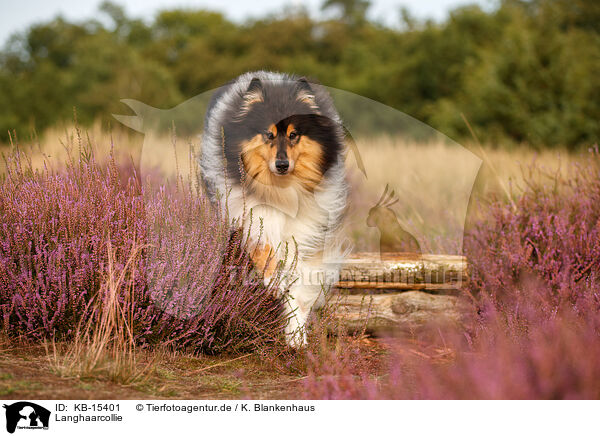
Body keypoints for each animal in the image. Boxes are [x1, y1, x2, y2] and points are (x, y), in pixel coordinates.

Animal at [200, 71, 346, 346]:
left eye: (293, 134)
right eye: (268, 134)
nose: (282, 164)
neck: (281, 190)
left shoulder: (310, 229)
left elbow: (300, 285)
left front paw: (296, 336)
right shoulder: (248, 213)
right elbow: (263, 244)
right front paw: (272, 281)